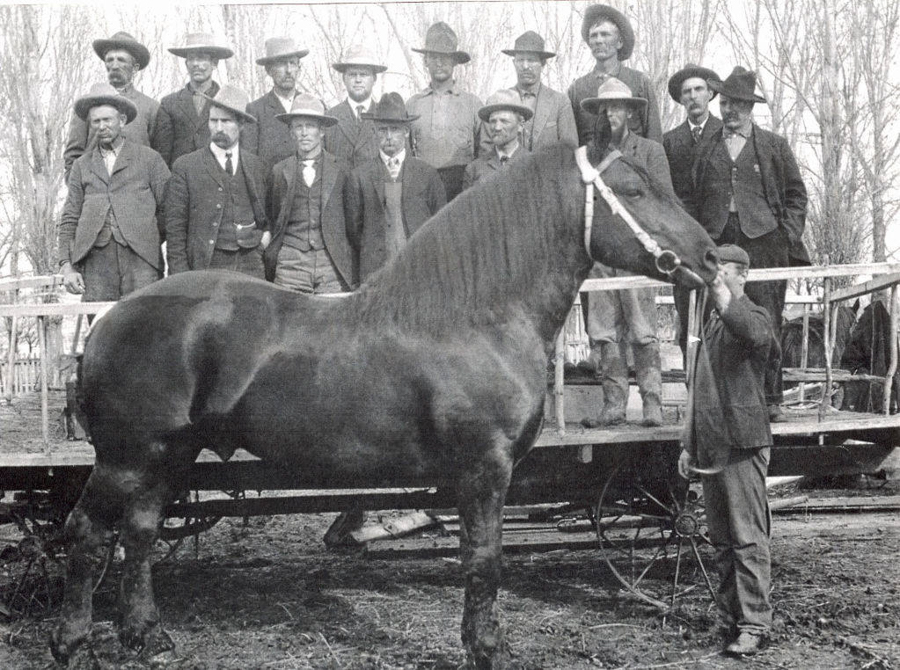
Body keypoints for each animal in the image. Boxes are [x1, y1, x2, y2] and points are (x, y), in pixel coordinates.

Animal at [51, 141, 718, 669]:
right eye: (634, 189)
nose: (713, 258)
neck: (475, 315)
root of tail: (107, 321)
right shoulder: (485, 468)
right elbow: (484, 560)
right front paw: (488, 650)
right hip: (127, 458)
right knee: (86, 534)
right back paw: (72, 643)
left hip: (168, 457)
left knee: (139, 534)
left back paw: (146, 638)